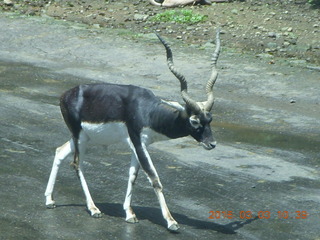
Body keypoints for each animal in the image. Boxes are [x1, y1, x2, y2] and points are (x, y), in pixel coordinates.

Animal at [43, 29, 221, 232]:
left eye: (210, 119)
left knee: (59, 152)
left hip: (82, 138)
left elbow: (133, 176)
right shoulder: (138, 141)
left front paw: (129, 214)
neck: (148, 111)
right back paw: (94, 209)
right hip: (80, 138)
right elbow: (154, 178)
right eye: (194, 121)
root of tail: (65, 95)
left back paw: (49, 200)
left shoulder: (138, 145)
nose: (211, 143)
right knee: (77, 164)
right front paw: (171, 221)